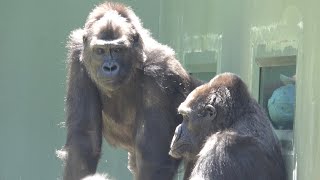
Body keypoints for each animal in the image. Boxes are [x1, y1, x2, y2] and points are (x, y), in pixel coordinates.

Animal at [59, 1, 200, 180]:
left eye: (118, 50)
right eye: (100, 51)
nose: (109, 68)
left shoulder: (159, 69)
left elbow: (153, 159)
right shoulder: (78, 56)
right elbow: (85, 139)